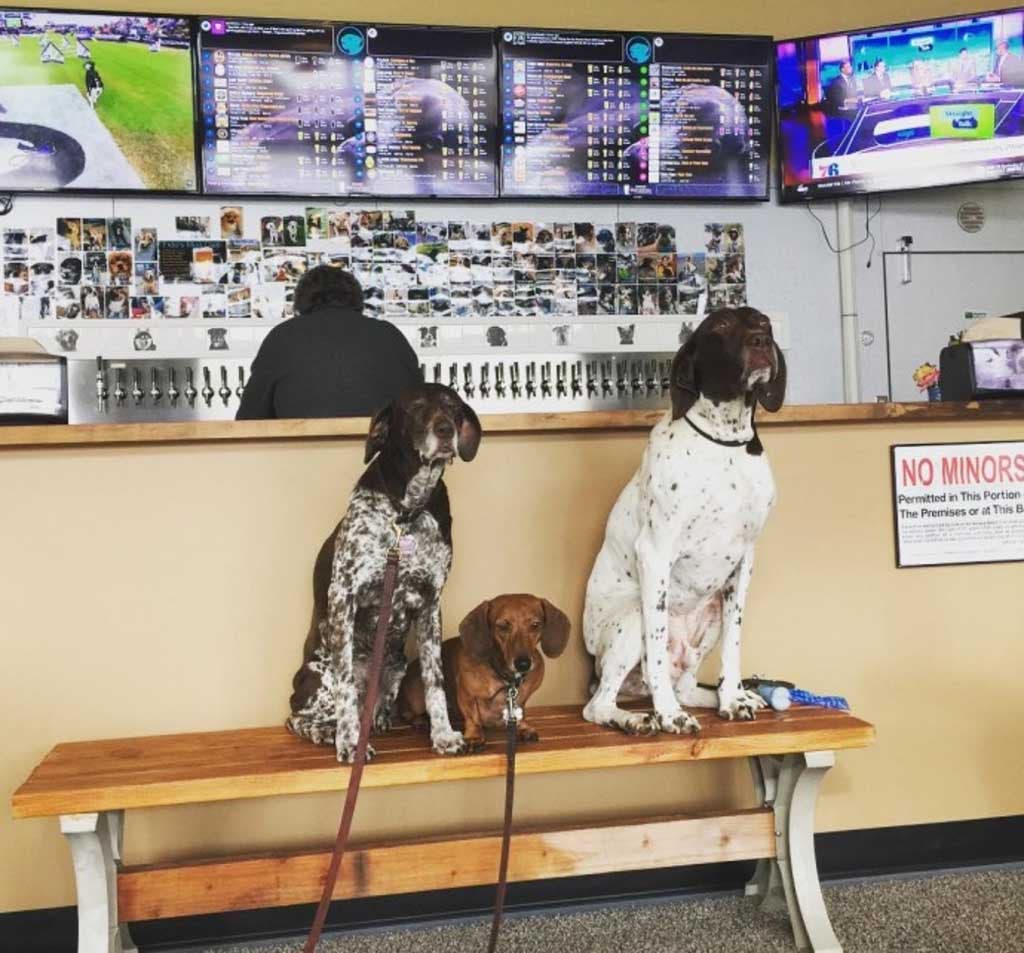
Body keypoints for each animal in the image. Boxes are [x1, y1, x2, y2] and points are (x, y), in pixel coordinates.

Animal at [286, 382, 481, 765]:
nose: (445, 430)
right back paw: (327, 731)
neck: (407, 512)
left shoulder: (430, 603)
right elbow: (346, 687)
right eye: (416, 406)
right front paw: (349, 744)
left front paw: (443, 735)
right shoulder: (344, 597)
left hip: (397, 664)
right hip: (318, 679)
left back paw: (377, 720)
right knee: (299, 717)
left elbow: (435, 680)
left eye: (453, 407)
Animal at [397, 597, 569, 753]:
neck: (505, 679)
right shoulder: (466, 694)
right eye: (502, 626)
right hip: (417, 699)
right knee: (407, 713)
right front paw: (474, 736)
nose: (523, 664)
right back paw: (420, 720)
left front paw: (523, 728)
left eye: (535, 625)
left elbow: (521, 711)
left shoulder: (522, 698)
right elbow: (473, 718)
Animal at [581, 311, 786, 737]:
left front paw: (733, 699)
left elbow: (733, 649)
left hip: (711, 614)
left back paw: (730, 696)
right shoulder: (656, 552)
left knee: (688, 686)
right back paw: (636, 718)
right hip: (631, 620)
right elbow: (656, 654)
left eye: (763, 322)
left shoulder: (744, 562)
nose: (761, 341)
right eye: (720, 326)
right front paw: (668, 714)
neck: (724, 443)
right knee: (598, 704)